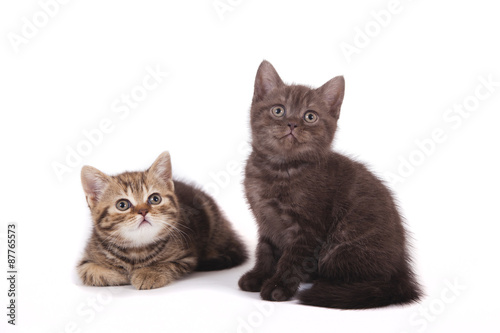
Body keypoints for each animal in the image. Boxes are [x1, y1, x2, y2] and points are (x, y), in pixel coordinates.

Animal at [77, 152, 246, 290]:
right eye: (122, 205)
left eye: (155, 199)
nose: (143, 211)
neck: (137, 250)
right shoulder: (84, 262)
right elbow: (92, 272)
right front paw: (120, 274)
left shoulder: (187, 257)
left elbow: (166, 265)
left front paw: (147, 274)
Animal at [238, 61, 422, 308]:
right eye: (278, 110)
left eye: (310, 116)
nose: (292, 123)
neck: (280, 169)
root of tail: (401, 271)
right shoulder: (265, 220)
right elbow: (265, 250)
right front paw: (258, 276)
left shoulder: (308, 227)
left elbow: (292, 259)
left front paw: (278, 287)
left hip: (342, 244)